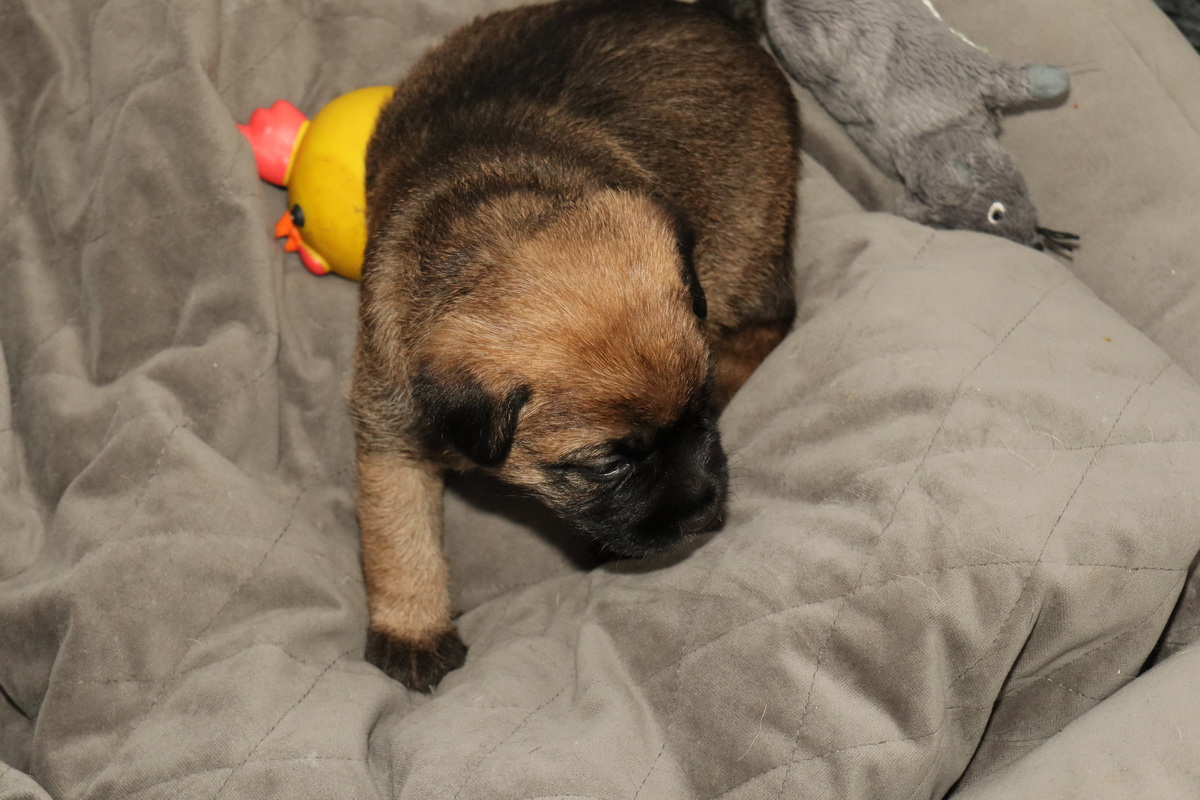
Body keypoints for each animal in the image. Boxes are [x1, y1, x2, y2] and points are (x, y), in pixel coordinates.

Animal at [352, 0, 799, 691]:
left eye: (700, 407)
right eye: (606, 464)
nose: (705, 509)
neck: (493, 225)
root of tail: (714, 14)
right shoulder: (391, 428)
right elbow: (396, 528)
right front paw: (413, 627)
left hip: (744, 249)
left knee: (771, 320)